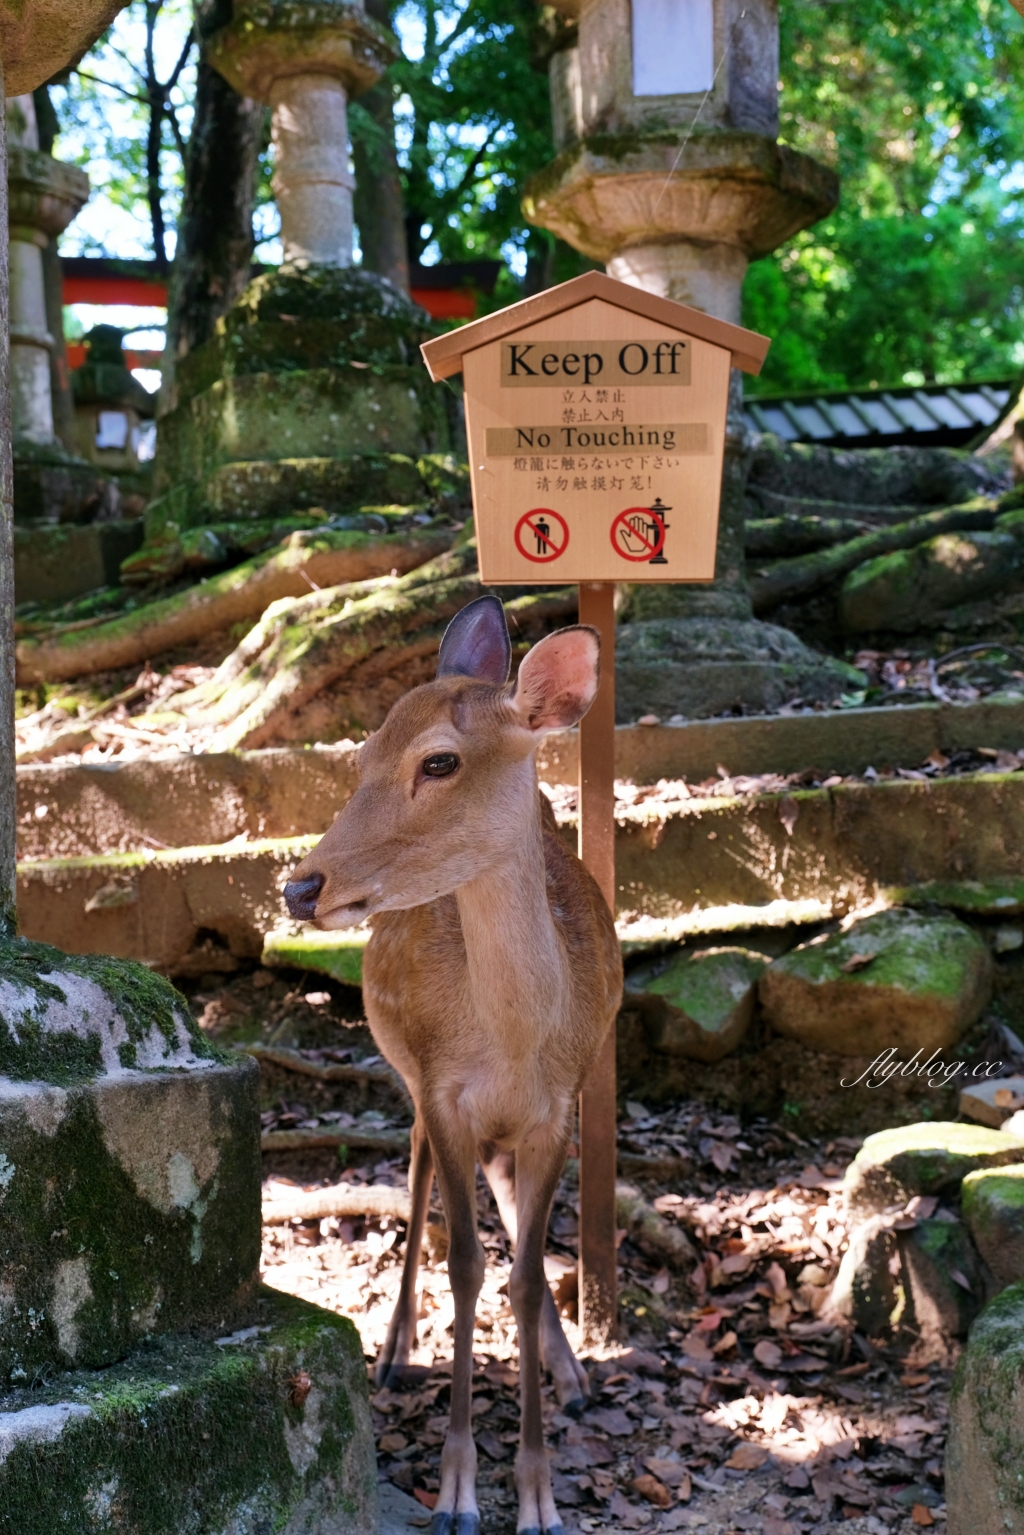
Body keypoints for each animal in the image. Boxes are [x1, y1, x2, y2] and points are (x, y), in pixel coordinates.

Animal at [282, 595, 626, 1535]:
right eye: (362, 753)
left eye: (439, 760)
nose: (300, 885)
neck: (512, 1042)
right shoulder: (443, 1088)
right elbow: (466, 1266)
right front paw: (459, 1494)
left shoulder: (558, 1105)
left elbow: (525, 1272)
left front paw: (541, 1497)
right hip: (405, 1072)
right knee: (414, 1164)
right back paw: (395, 1346)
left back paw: (572, 1372)